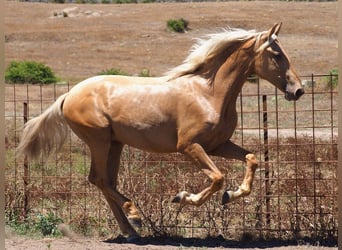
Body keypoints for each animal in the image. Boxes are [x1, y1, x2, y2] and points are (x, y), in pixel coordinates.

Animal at [17, 23, 304, 240]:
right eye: (276, 55)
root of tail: (68, 95)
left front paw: (231, 195)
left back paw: (131, 230)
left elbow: (252, 159)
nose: (298, 90)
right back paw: (134, 215)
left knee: (106, 181)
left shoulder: (217, 145)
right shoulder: (189, 146)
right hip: (98, 140)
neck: (208, 93)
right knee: (99, 179)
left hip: (115, 144)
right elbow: (217, 178)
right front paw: (182, 197)